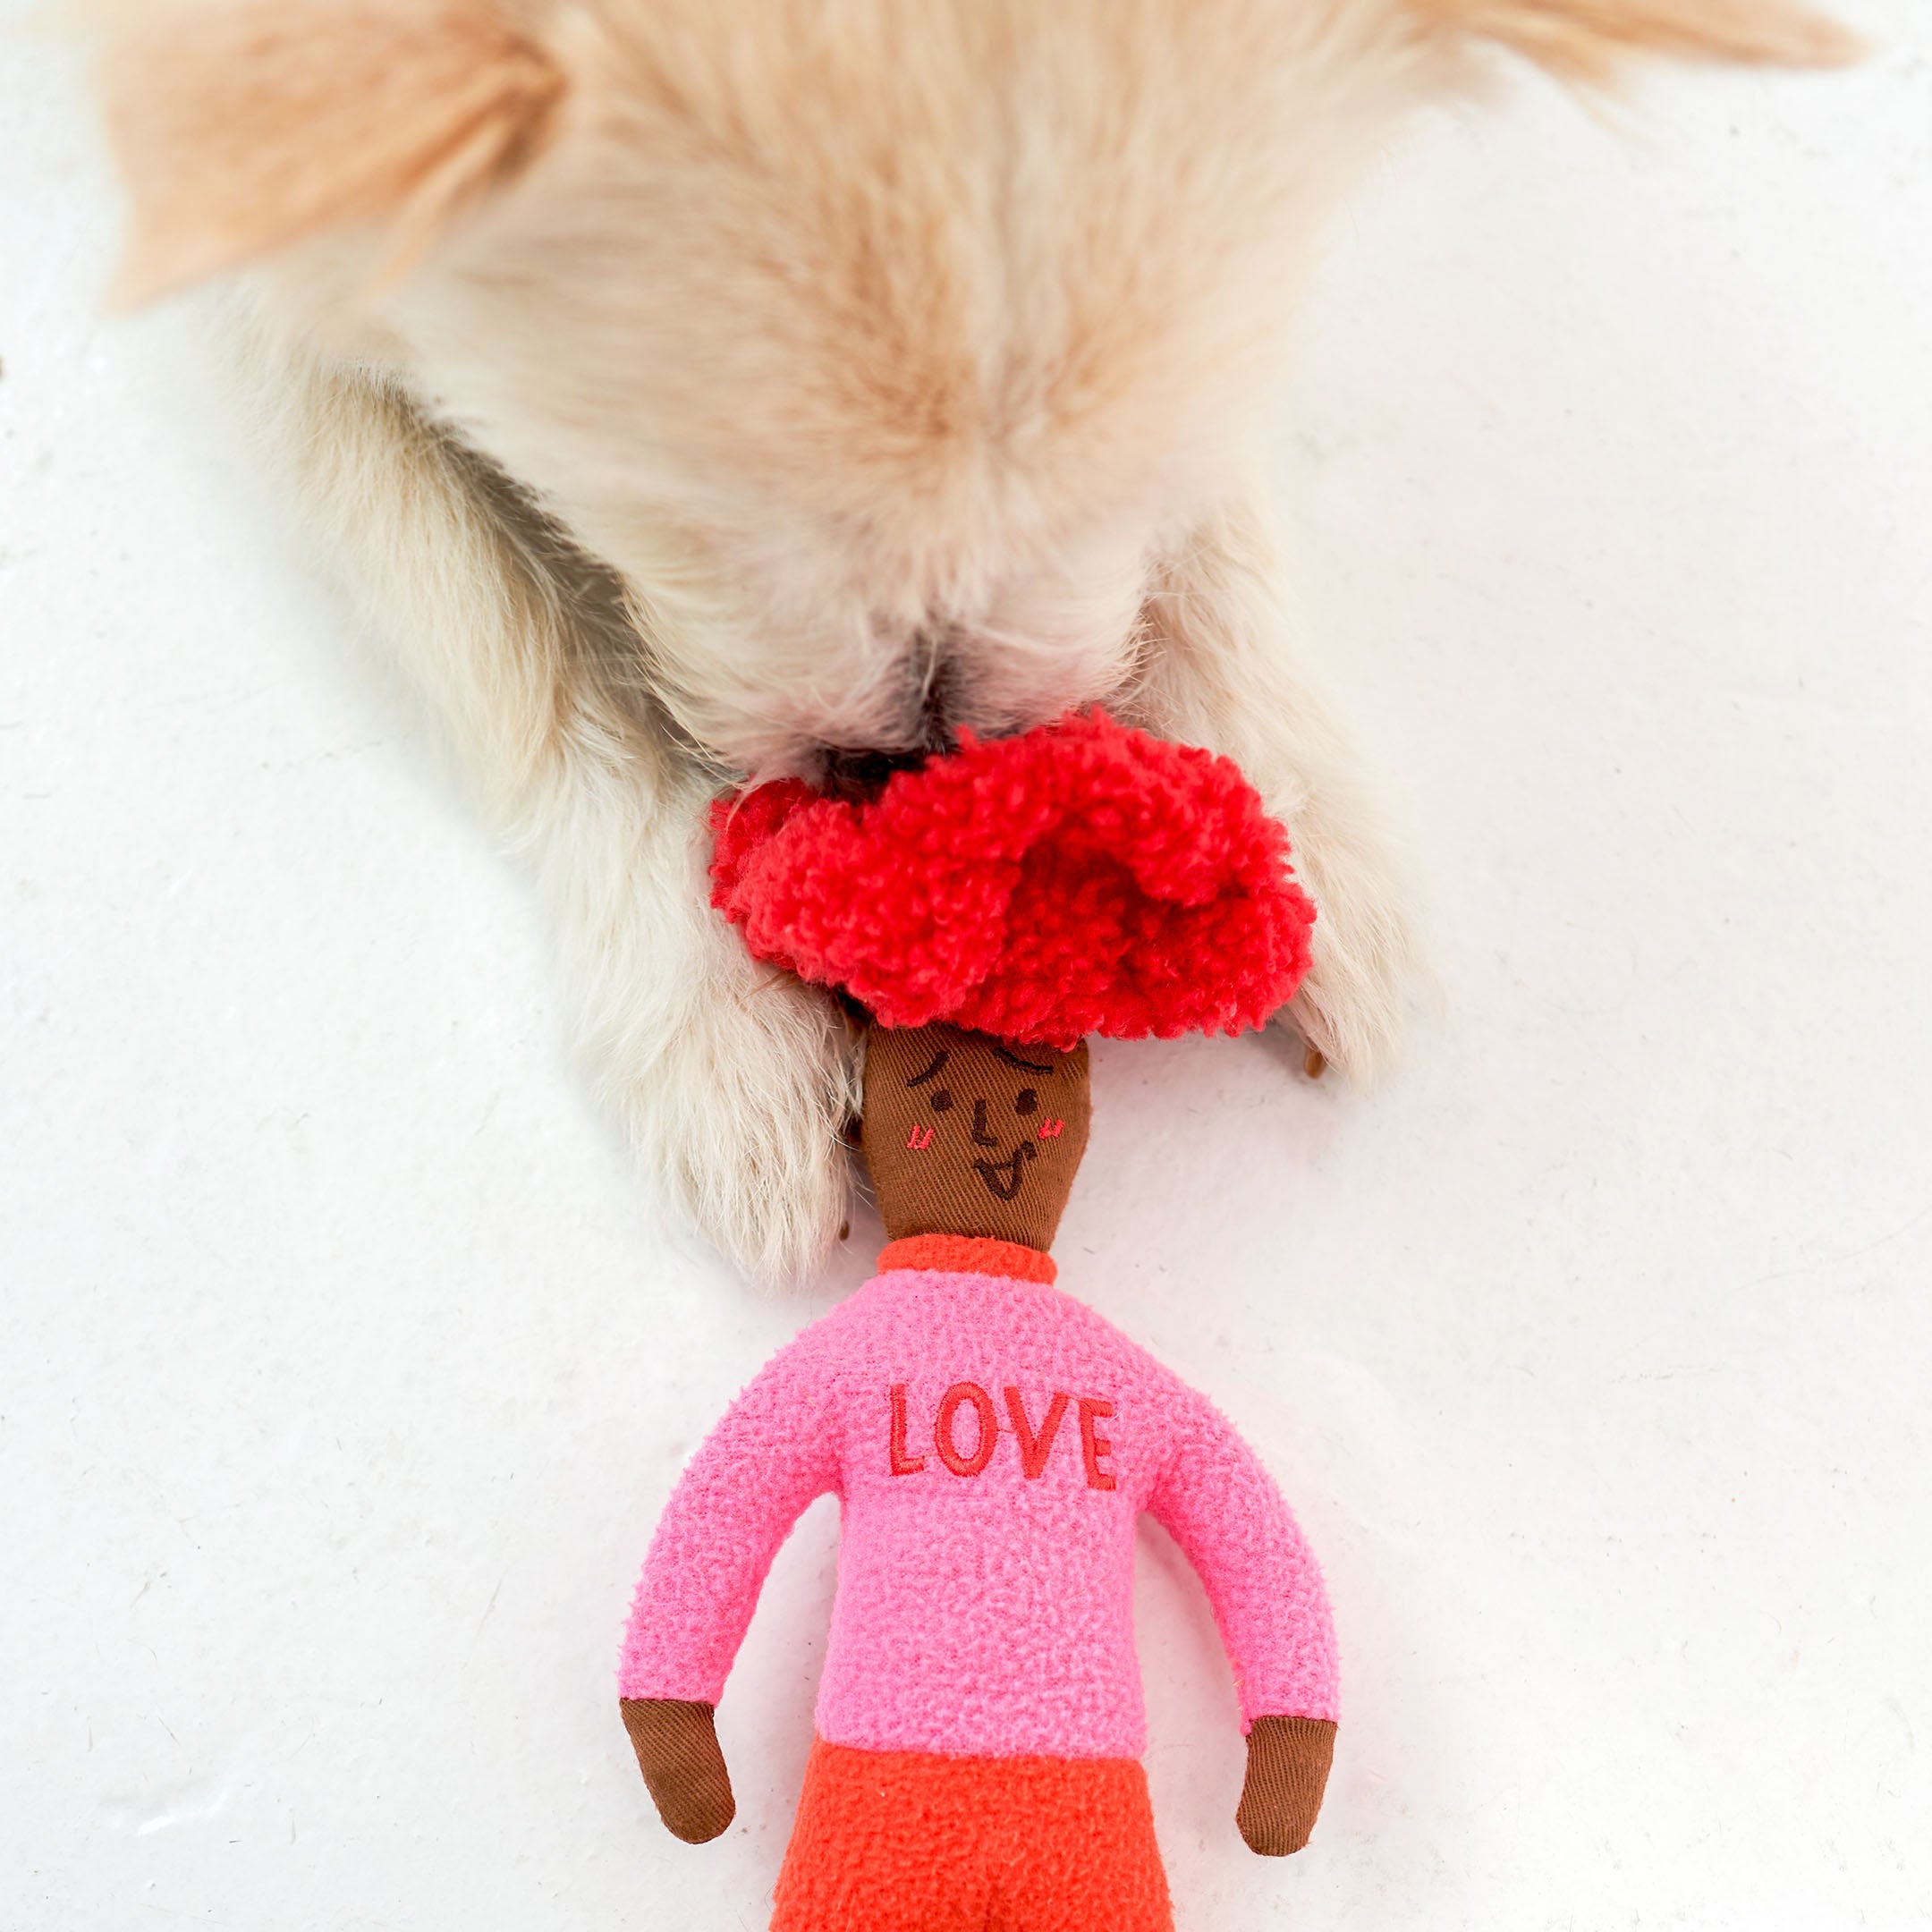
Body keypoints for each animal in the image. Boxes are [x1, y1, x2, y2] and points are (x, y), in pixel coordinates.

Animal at [90, 0, 1854, 1283]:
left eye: (1117, 495)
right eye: (694, 527)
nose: (918, 768)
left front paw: (1301, 830)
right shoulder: (233, 265)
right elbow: (503, 637)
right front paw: (708, 1006)